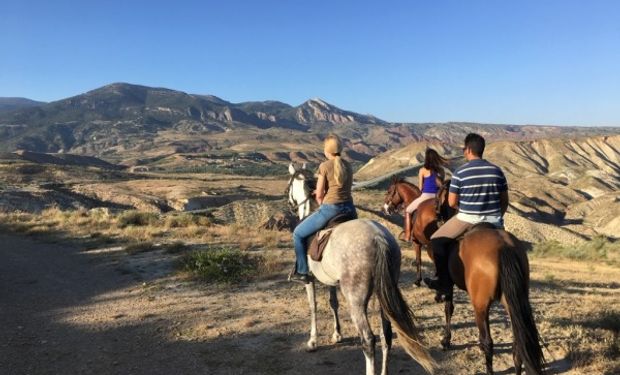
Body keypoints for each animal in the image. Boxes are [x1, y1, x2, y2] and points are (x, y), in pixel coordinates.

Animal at [286, 164, 436, 375]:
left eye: (290, 184)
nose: (289, 202)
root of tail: (378, 238)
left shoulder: (310, 279)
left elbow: (313, 306)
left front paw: (312, 341)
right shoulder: (329, 280)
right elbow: (333, 303)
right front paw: (337, 334)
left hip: (356, 300)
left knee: (368, 339)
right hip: (384, 294)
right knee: (386, 334)